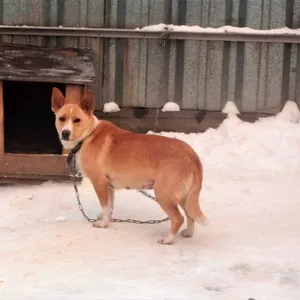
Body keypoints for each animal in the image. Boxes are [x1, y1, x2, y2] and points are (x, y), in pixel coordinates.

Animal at [51, 86, 207, 244]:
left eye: (77, 120)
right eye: (61, 118)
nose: (65, 133)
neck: (88, 135)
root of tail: (192, 155)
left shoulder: (99, 183)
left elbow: (105, 205)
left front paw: (103, 224)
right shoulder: (109, 186)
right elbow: (109, 206)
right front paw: (106, 218)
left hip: (163, 194)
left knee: (178, 218)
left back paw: (168, 239)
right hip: (184, 196)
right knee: (189, 214)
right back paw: (188, 232)